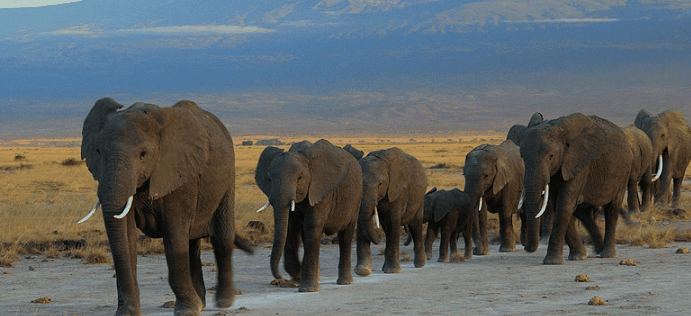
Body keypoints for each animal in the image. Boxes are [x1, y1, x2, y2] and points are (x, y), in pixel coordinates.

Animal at [80, 98, 254, 316]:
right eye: (98, 152)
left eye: (143, 154)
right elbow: (126, 238)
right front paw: (127, 313)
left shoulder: (180, 173)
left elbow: (174, 235)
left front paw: (187, 311)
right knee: (192, 244)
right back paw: (201, 303)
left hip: (228, 178)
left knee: (221, 237)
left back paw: (223, 302)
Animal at [254, 139, 362, 292]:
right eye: (269, 179)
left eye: (299, 178)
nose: (279, 278)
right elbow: (291, 227)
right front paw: (298, 279)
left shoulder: (320, 189)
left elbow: (312, 226)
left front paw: (307, 288)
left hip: (356, 197)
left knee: (345, 236)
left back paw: (345, 282)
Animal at [356, 147, 428, 276]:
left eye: (380, 184)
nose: (378, 235)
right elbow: (361, 222)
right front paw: (362, 271)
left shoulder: (398, 190)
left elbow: (393, 221)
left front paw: (392, 271)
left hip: (419, 199)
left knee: (415, 226)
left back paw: (420, 264)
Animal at [524, 113, 632, 264]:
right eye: (522, 157)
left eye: (551, 156)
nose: (526, 248)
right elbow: (558, 204)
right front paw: (578, 256)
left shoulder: (579, 164)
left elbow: (565, 203)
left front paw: (552, 261)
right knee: (583, 213)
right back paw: (597, 250)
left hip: (624, 170)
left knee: (612, 208)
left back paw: (607, 254)